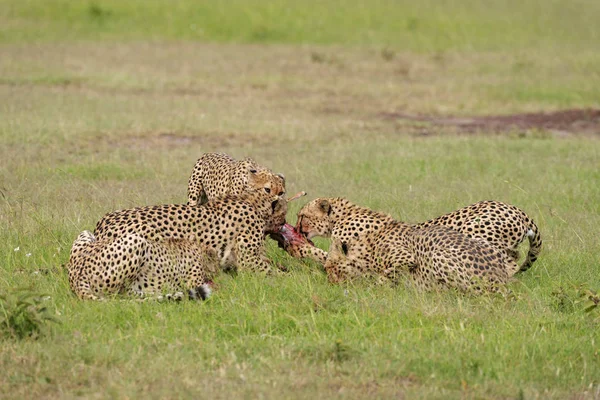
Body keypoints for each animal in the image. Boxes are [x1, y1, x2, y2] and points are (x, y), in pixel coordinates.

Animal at [68, 231, 218, 300]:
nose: (216, 272)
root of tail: (76, 276)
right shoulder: (194, 282)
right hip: (136, 239)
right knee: (122, 294)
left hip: (86, 233)